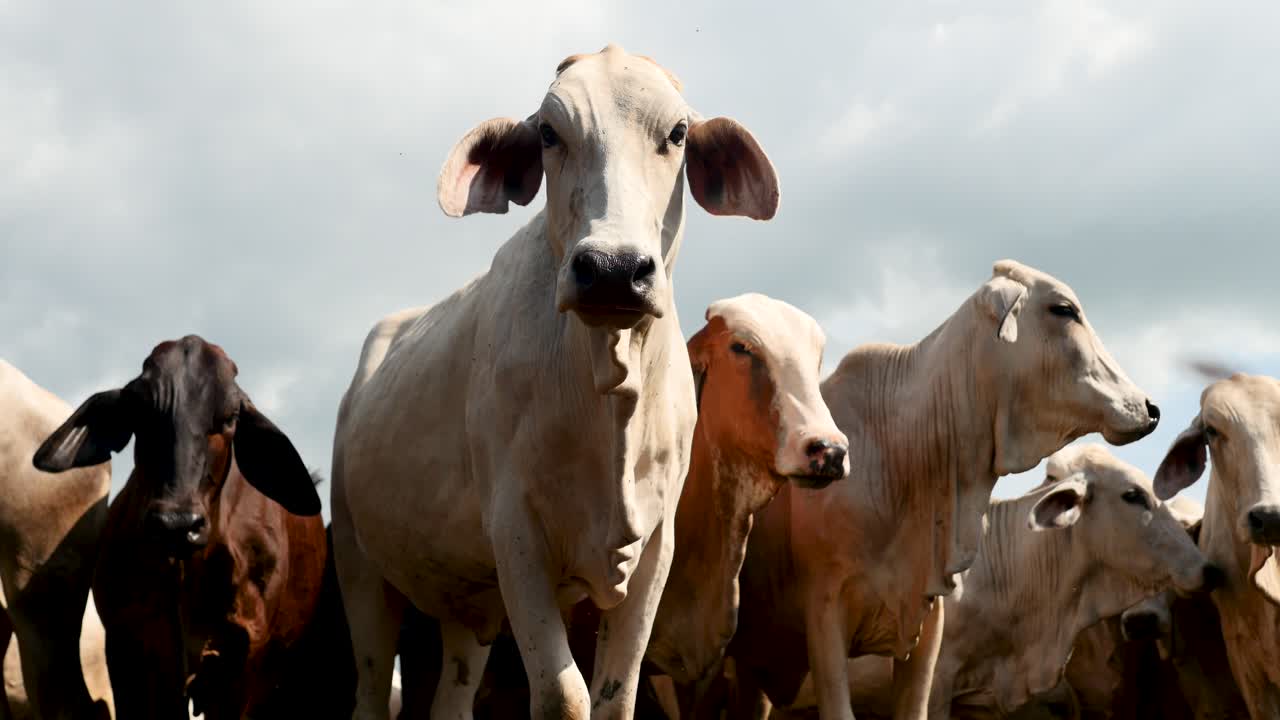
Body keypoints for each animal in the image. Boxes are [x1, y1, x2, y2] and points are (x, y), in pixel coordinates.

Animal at [331, 44, 780, 720]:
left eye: (677, 133)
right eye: (548, 132)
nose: (613, 270)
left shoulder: (654, 548)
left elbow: (616, 694)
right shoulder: (516, 531)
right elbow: (565, 696)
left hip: (467, 608)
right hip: (361, 571)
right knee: (369, 690)